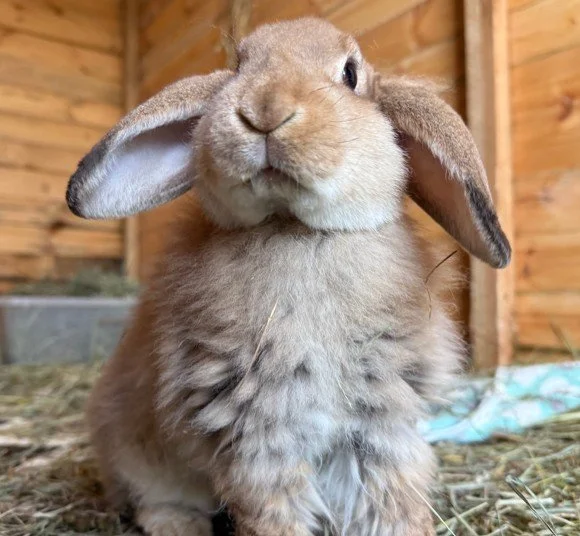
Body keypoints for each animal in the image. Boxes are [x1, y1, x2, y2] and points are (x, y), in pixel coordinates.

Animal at [67, 17, 510, 536]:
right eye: (239, 66)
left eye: (350, 73)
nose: (264, 110)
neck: (294, 227)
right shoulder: (258, 438)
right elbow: (274, 515)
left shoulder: (380, 427)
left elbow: (394, 501)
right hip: (141, 460)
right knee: (155, 502)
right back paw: (181, 525)